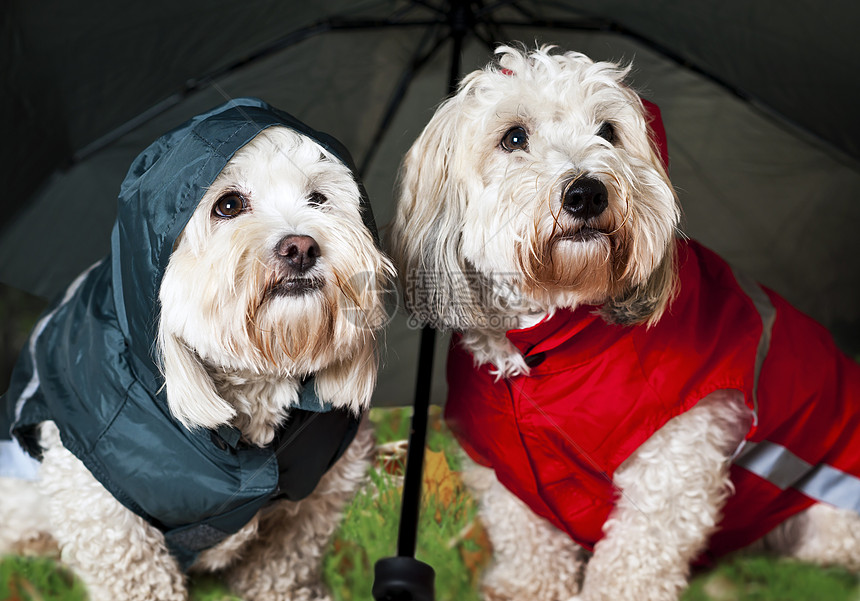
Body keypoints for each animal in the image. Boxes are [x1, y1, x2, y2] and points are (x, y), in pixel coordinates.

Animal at [0, 99, 394, 600]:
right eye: (228, 205)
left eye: (319, 200)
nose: (301, 247)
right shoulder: (97, 505)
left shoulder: (329, 480)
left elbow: (286, 559)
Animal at [392, 48, 860, 600]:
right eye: (513, 137)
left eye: (609, 131)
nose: (587, 193)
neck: (548, 344)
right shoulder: (504, 465)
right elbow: (526, 537)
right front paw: (527, 586)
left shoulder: (677, 457)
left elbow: (634, 557)